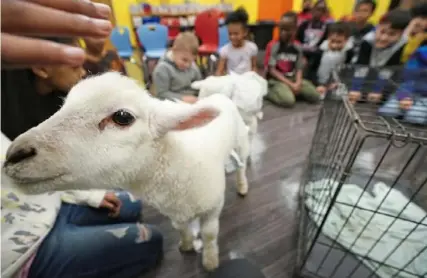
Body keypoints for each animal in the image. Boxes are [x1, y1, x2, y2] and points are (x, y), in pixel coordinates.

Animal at [2, 71, 251, 272]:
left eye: (122, 117)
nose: (14, 155)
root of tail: (218, 94)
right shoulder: (173, 211)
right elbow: (182, 229)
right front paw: (187, 244)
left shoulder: (212, 207)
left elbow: (209, 234)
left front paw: (210, 261)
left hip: (240, 140)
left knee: (242, 164)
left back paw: (242, 185)